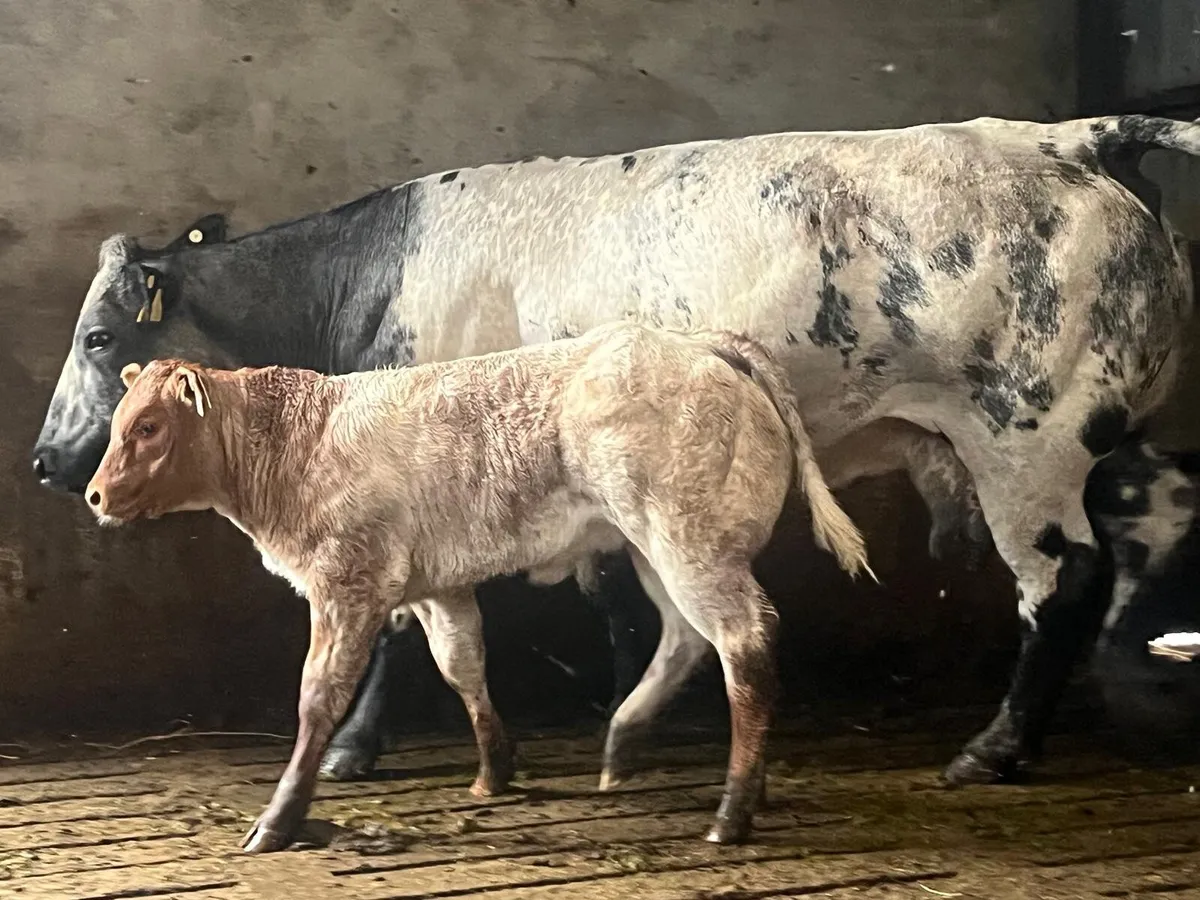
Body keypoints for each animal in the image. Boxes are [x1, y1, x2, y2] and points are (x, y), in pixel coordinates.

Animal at [33, 113, 1200, 789]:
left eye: (99, 339)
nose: (48, 462)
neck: (365, 284)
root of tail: (1071, 136)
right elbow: (609, 595)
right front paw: (630, 706)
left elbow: (405, 622)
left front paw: (359, 745)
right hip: (1105, 442)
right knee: (1140, 535)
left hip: (1026, 440)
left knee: (1063, 580)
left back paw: (995, 748)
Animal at [83, 323, 875, 852]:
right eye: (120, 422)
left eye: (148, 426)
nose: (94, 495)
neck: (296, 445)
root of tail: (706, 341)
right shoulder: (434, 586)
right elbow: (462, 664)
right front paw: (495, 772)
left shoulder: (348, 582)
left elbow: (319, 699)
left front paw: (277, 821)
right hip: (659, 546)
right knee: (688, 638)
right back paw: (630, 746)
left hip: (688, 536)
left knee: (744, 640)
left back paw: (732, 811)